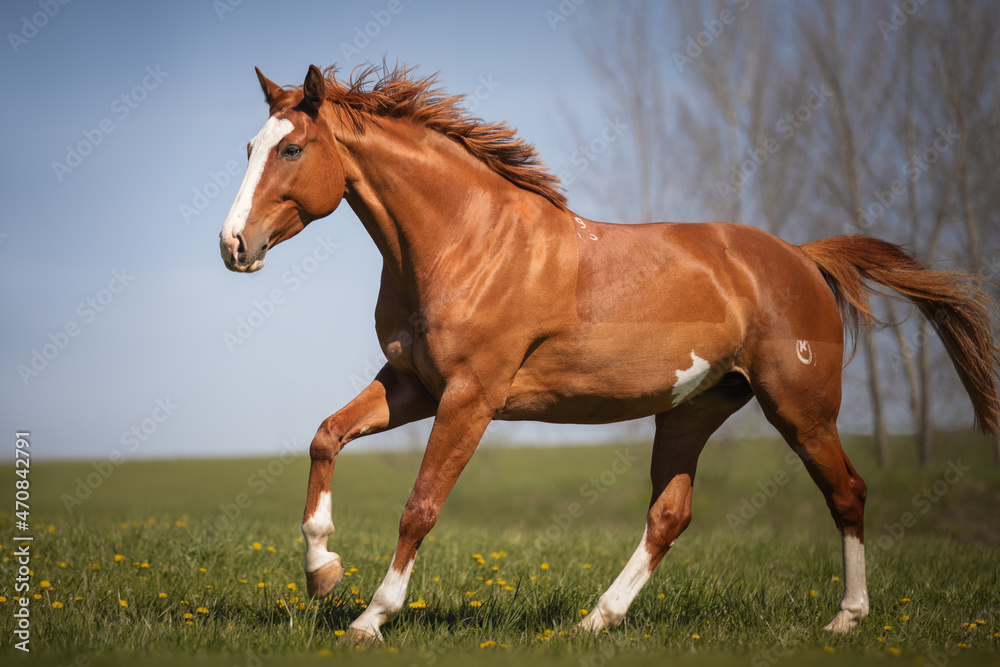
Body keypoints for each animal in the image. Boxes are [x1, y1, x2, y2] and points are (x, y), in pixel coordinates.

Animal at [219, 64, 999, 643]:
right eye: (251, 147)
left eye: (292, 148)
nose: (233, 245)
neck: (466, 240)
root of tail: (804, 258)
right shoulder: (413, 384)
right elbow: (326, 436)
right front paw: (322, 570)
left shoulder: (471, 395)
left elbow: (421, 505)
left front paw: (368, 619)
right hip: (691, 411)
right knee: (669, 515)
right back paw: (597, 619)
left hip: (801, 409)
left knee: (848, 492)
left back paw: (846, 619)